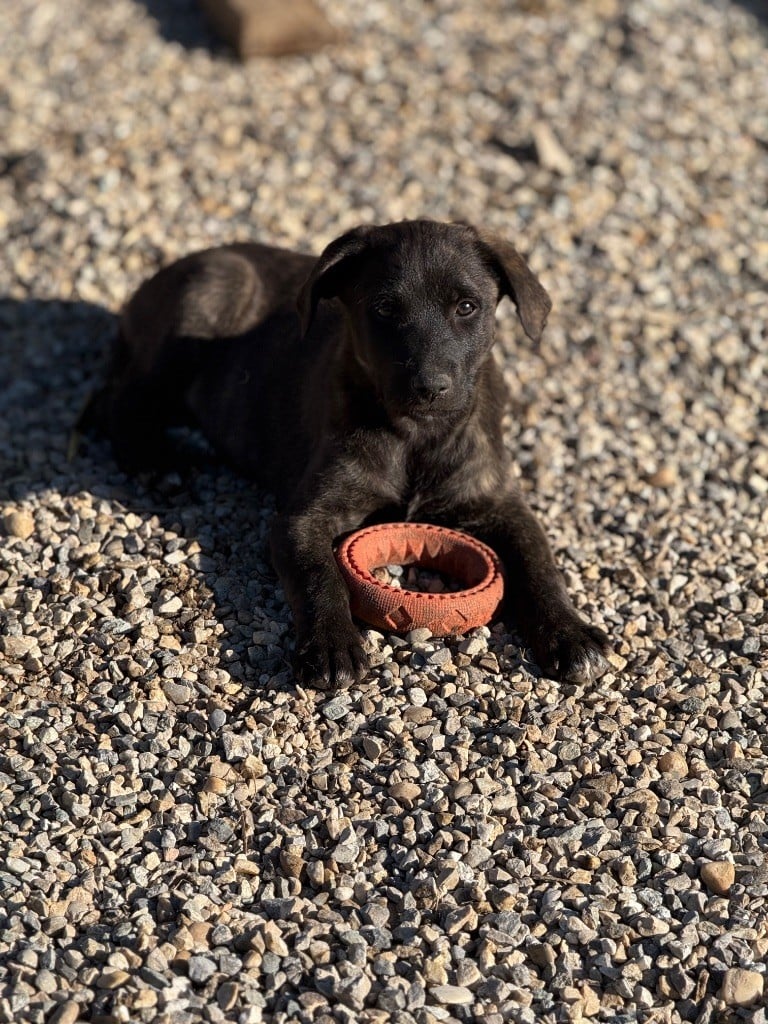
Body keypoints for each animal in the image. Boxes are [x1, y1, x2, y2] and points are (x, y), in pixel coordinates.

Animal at [96, 221, 610, 692]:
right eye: (384, 308)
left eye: (467, 306)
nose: (430, 388)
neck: (417, 437)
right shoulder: (302, 519)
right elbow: (318, 574)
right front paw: (330, 645)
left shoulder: (502, 504)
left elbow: (539, 564)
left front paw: (570, 634)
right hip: (212, 292)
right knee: (122, 401)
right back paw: (157, 463)